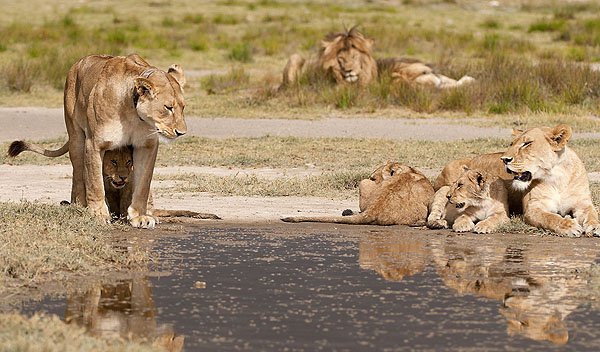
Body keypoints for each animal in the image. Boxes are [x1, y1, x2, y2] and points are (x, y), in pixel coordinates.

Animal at [9, 53, 186, 228]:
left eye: (183, 107)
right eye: (168, 108)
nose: (181, 132)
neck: (134, 115)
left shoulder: (146, 146)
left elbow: (143, 184)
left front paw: (139, 216)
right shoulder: (95, 143)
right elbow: (95, 184)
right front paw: (99, 215)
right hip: (76, 139)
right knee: (79, 175)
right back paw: (79, 206)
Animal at [282, 162, 432, 226]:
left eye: (374, 178)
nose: (372, 177)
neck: (408, 172)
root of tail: (373, 212)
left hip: (363, 183)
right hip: (363, 183)